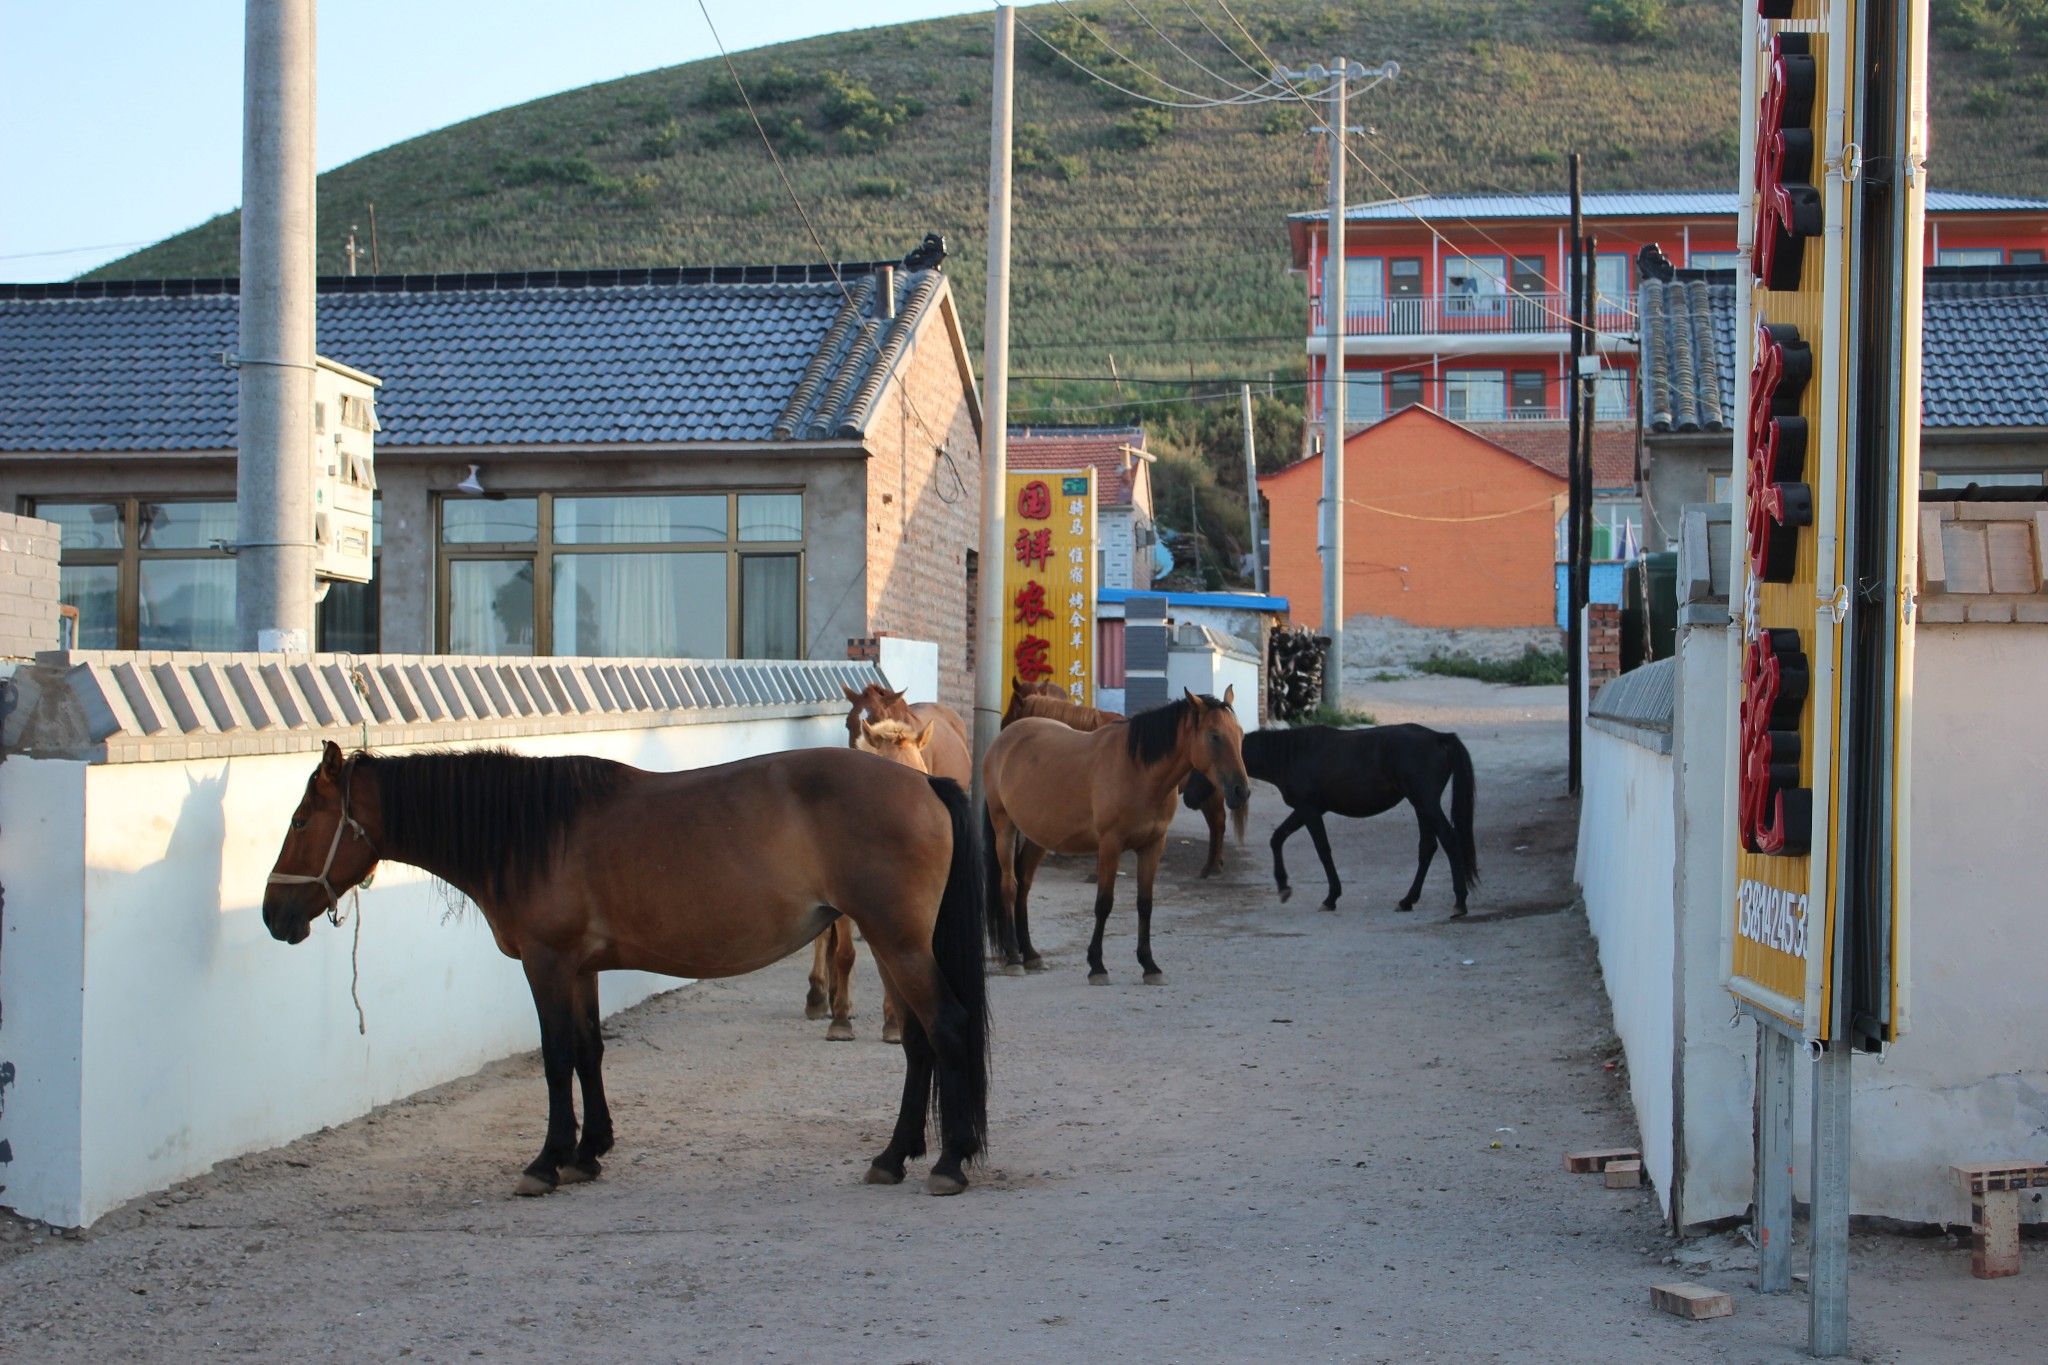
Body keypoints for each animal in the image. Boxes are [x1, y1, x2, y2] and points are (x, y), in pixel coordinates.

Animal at [260, 740, 995, 1203]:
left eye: (300, 820)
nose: (272, 914)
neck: (533, 832)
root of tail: (923, 781)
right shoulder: (580, 969)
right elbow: (589, 1051)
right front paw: (589, 1151)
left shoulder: (548, 963)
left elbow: (556, 1057)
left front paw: (547, 1161)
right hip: (891, 945)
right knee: (919, 1044)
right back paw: (893, 1156)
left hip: (899, 942)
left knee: (948, 1029)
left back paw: (950, 1161)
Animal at [978, 695, 1245, 982]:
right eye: (1214, 736)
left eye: (1240, 734)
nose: (1241, 790)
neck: (1138, 770)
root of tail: (1003, 740)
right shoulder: (1110, 844)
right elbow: (1104, 903)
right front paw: (1097, 965)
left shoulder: (1153, 846)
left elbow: (1145, 903)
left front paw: (1149, 965)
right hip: (1004, 827)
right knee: (1009, 886)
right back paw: (1014, 958)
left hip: (1039, 835)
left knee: (1024, 884)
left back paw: (1030, 954)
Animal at [1187, 724, 1474, 916]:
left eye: (1203, 769)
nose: (1188, 797)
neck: (1290, 754)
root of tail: (1439, 738)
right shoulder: (1307, 810)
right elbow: (1277, 838)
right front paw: (1284, 886)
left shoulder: (1310, 810)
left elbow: (1322, 850)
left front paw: (1331, 896)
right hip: (1421, 806)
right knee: (1428, 848)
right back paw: (1408, 900)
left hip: (1426, 803)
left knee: (1449, 840)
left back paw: (1460, 902)